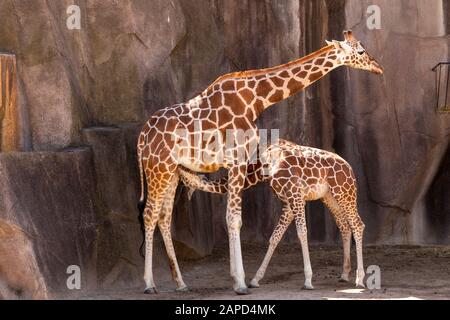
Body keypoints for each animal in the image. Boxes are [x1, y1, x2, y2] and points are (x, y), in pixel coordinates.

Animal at [178, 139, 364, 288]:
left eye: (184, 182)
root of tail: (350, 169)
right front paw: (255, 279)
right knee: (344, 226)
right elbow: (274, 237)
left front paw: (308, 281)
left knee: (357, 224)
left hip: (344, 192)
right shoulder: (288, 202)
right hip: (329, 197)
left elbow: (302, 233)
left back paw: (359, 279)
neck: (262, 167)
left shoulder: (295, 195)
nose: (184, 200)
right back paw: (344, 275)